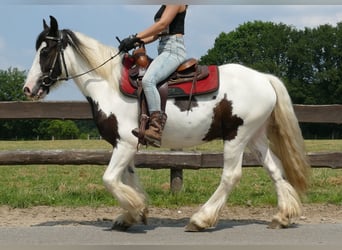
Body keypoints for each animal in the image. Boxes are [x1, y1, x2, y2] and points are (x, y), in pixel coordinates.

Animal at [22, 16, 310, 232]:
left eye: (45, 51)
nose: (28, 88)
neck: (109, 84)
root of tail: (264, 78)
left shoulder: (125, 143)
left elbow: (110, 179)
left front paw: (135, 208)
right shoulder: (127, 144)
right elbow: (128, 176)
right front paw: (133, 214)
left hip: (236, 136)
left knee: (231, 176)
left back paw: (201, 219)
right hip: (255, 136)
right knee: (274, 168)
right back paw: (282, 216)